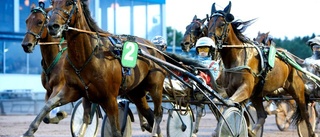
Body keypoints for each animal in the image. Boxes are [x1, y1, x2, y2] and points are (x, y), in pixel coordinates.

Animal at [45, 0, 168, 137]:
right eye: (52, 3)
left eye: (69, 2)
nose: (52, 26)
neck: (89, 54)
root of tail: (157, 50)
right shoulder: (78, 91)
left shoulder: (110, 98)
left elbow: (116, 130)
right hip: (136, 92)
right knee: (148, 114)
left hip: (155, 86)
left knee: (158, 114)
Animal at [208, 1, 316, 136]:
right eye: (208, 24)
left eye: (222, 24)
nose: (209, 46)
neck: (238, 57)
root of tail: (290, 57)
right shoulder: (232, 91)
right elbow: (239, 112)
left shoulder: (245, 89)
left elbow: (229, 104)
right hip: (257, 94)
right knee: (262, 115)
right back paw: (253, 132)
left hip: (297, 89)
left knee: (305, 113)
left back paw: (311, 132)